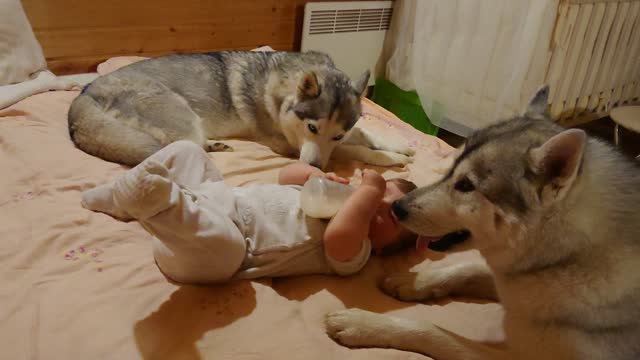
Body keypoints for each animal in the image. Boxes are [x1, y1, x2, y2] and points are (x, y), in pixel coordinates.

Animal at [67, 50, 412, 169]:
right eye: (312, 128)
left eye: (337, 134)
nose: (314, 168)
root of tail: (86, 92)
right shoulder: (289, 146)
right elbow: (356, 150)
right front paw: (392, 159)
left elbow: (364, 134)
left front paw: (399, 146)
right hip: (184, 118)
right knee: (181, 150)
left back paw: (216, 145)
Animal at [324, 87, 640, 360]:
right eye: (450, 168)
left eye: (465, 185)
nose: (396, 207)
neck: (567, 256)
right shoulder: (512, 285)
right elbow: (469, 268)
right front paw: (414, 281)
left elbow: (431, 332)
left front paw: (365, 324)